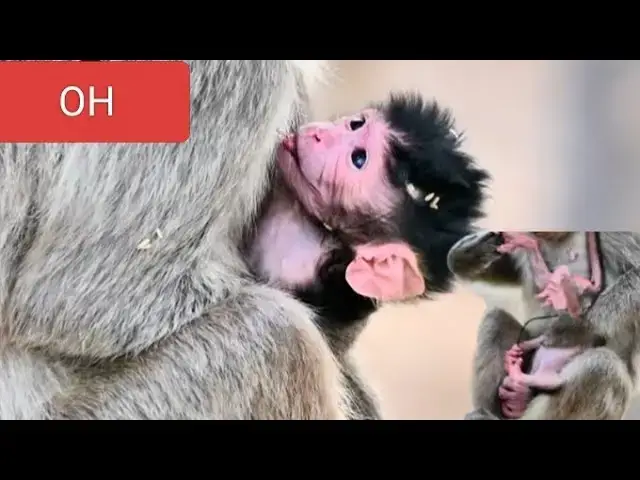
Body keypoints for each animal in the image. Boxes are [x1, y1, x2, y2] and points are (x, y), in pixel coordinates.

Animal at [447, 230, 640, 420]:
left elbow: (636, 275)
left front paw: (580, 326)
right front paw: (470, 254)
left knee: (602, 366)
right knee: (496, 319)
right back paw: (493, 412)